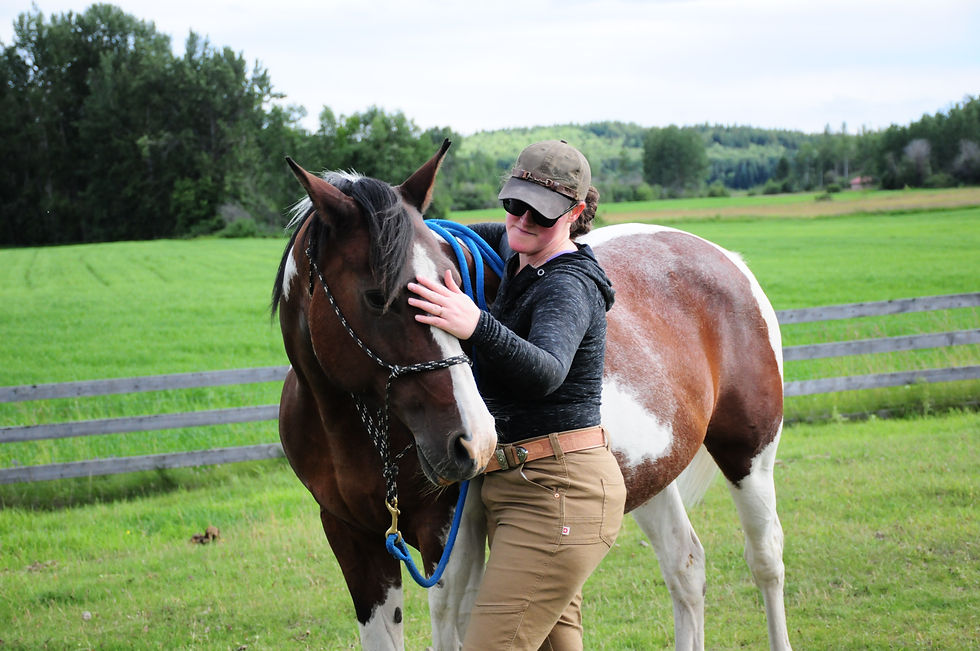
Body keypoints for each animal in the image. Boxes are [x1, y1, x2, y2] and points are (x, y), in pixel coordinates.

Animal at [272, 141, 791, 650]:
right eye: (376, 296)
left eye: (452, 278)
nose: (473, 440)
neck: (352, 433)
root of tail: (726, 259)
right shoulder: (353, 539)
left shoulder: (451, 542)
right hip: (649, 473)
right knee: (685, 565)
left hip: (749, 455)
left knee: (765, 559)